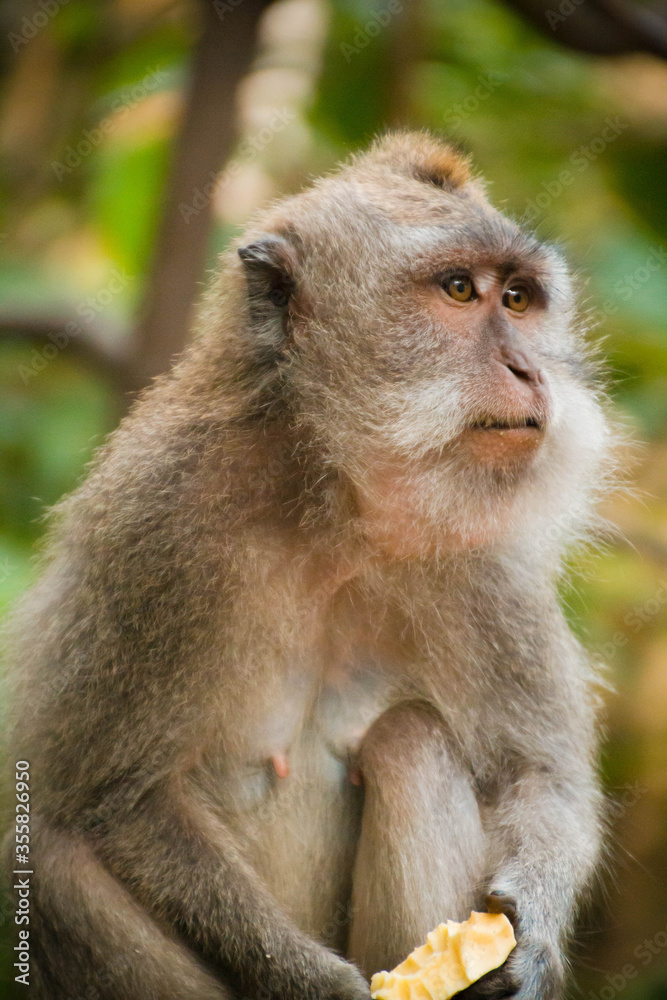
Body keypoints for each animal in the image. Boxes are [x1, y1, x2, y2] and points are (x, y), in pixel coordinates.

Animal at [2, 133, 620, 1000]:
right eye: (459, 290)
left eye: (519, 300)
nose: (530, 371)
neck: (331, 502)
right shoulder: (155, 525)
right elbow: (113, 800)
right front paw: (309, 981)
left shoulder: (487, 559)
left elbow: (540, 776)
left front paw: (528, 928)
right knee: (53, 860)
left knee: (411, 739)